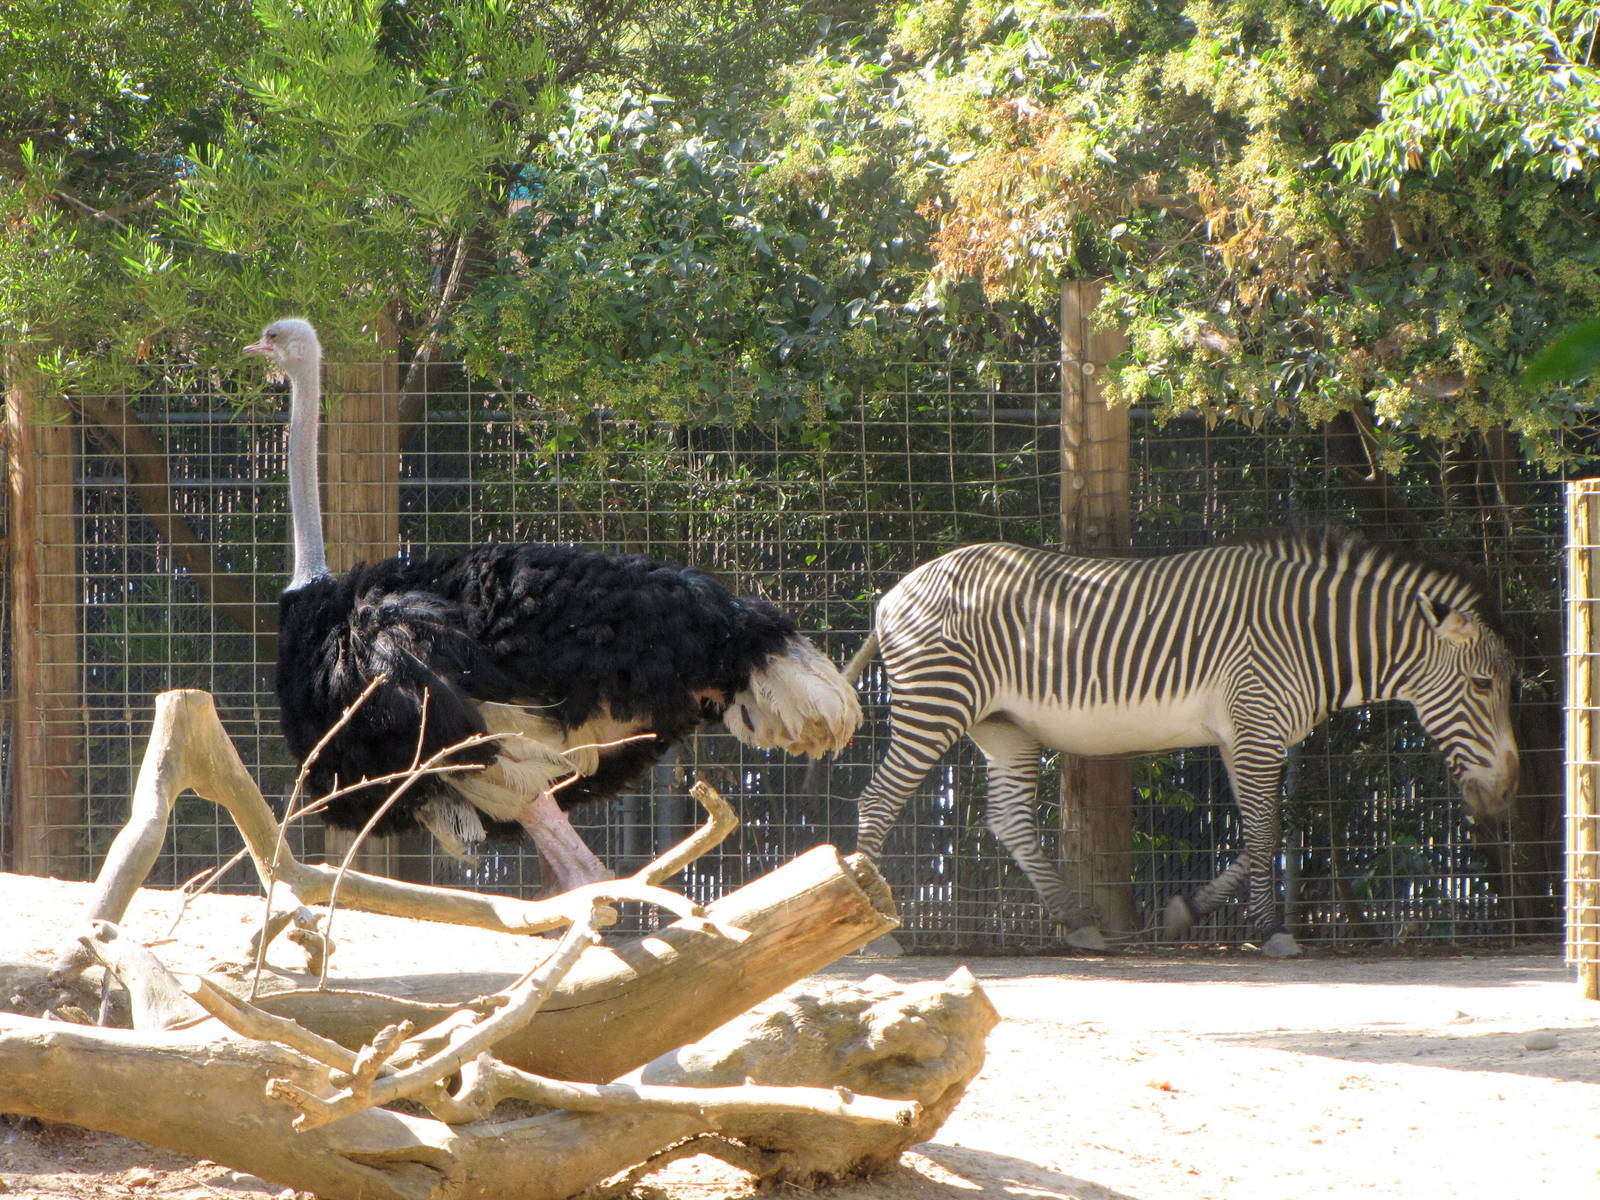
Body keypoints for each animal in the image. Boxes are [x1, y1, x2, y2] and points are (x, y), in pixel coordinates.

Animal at [848, 534, 1520, 958]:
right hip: (937, 703)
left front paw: (1187, 912)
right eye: (1484, 685)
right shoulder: (1255, 726)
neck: (1312, 638)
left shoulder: (1243, 733)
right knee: (877, 801)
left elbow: (1260, 834)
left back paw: (1078, 923)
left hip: (1002, 725)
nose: (1507, 793)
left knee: (1009, 819)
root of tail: (892, 594)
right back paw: (879, 932)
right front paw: (1271, 931)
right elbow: (1266, 832)